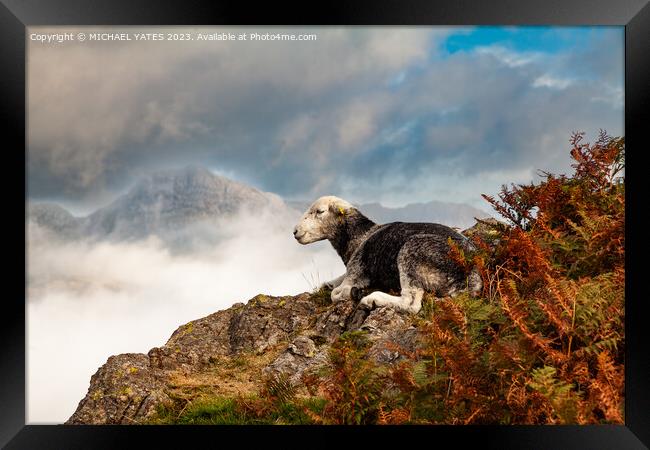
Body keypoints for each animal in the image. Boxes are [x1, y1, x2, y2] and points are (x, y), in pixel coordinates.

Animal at [294, 195, 480, 314]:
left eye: (320, 212)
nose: (295, 231)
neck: (360, 235)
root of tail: (472, 273)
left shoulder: (356, 272)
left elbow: (336, 294)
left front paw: (352, 292)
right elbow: (329, 284)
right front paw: (328, 284)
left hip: (412, 252)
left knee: (411, 303)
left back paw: (372, 299)